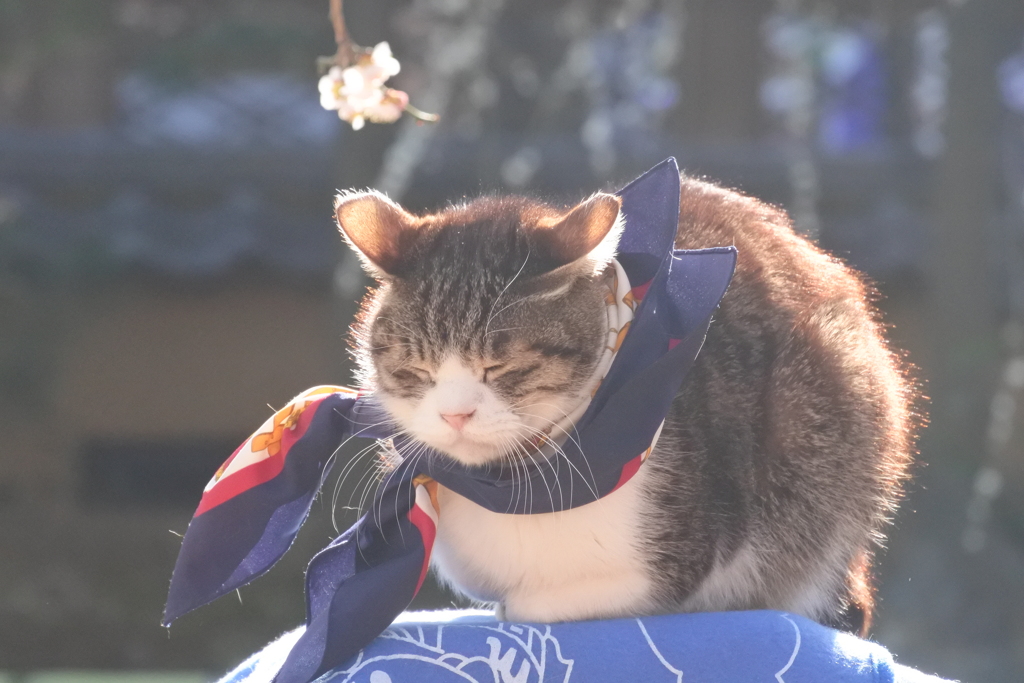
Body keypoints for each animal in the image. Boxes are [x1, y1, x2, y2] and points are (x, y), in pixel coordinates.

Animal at [333, 175, 913, 634]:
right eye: (417, 370)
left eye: (501, 368)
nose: (455, 415)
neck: (509, 485)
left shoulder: (672, 566)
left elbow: (531, 607)